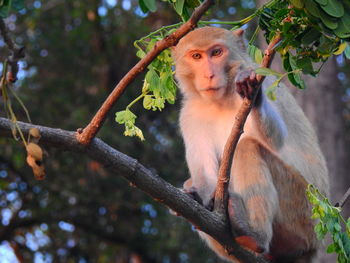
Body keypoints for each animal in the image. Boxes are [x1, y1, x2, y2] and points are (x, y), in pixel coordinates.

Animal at [171, 27, 330, 263]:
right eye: (196, 56)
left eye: (216, 52)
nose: (209, 75)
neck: (222, 99)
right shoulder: (190, 114)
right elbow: (204, 171)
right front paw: (199, 196)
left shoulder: (263, 78)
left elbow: (277, 139)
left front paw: (253, 96)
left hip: (304, 212)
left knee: (247, 147)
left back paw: (253, 234)